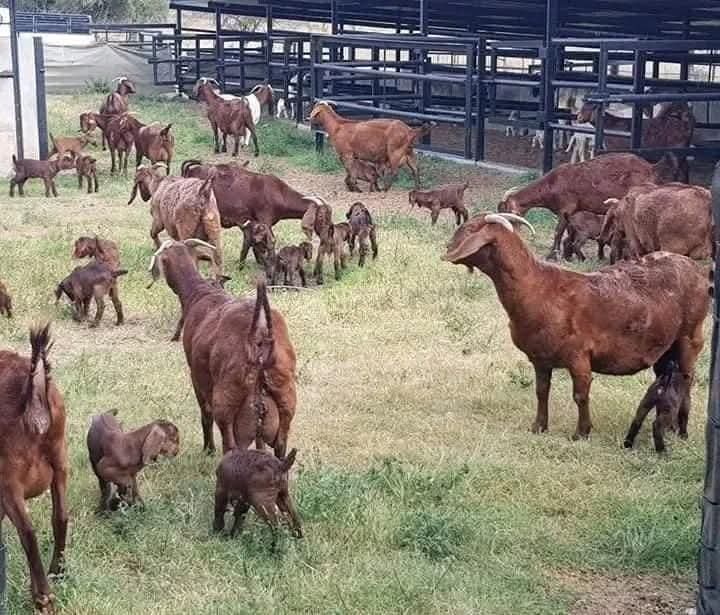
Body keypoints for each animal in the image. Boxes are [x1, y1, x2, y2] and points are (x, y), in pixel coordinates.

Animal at [148, 239, 297, 457]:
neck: (199, 293)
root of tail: (259, 335)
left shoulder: (197, 376)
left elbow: (205, 414)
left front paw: (208, 449)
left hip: (226, 402)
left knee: (229, 443)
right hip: (284, 400)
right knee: (280, 446)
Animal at [443, 212, 708, 441]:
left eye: (469, 228)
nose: (446, 248)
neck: (539, 288)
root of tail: (697, 271)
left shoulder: (579, 356)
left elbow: (580, 395)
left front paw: (581, 433)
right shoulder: (540, 358)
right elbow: (541, 391)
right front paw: (538, 427)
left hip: (691, 336)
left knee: (687, 379)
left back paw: (681, 431)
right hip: (665, 350)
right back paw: (668, 425)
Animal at [498, 153, 678, 257]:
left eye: (508, 212)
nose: (511, 233)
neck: (551, 184)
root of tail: (651, 167)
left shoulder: (565, 207)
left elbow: (558, 232)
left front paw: (553, 255)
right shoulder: (571, 213)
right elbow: (568, 232)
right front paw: (567, 254)